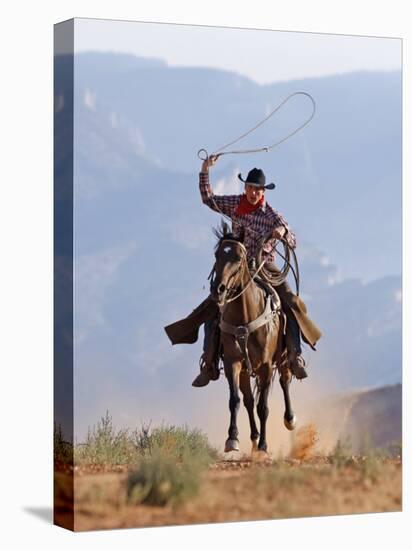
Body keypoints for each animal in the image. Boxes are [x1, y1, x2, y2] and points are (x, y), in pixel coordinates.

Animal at [209, 222, 296, 454]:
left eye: (239, 257)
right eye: (217, 254)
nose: (218, 289)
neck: (245, 316)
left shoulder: (266, 366)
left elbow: (263, 407)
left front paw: (264, 446)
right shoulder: (233, 362)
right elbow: (235, 400)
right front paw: (232, 439)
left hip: (282, 359)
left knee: (285, 381)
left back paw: (289, 419)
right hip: (246, 370)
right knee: (248, 399)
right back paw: (254, 437)